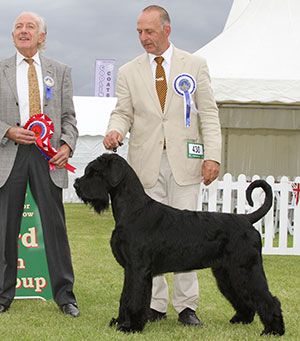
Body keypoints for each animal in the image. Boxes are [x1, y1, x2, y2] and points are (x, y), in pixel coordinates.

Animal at [74, 153, 284, 334]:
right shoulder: (130, 269)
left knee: (268, 299)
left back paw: (273, 330)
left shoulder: (138, 269)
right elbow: (125, 297)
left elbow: (133, 298)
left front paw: (130, 327)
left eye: (95, 172)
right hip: (227, 273)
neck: (133, 211)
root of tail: (246, 219)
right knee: (243, 297)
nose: (76, 184)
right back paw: (242, 319)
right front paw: (120, 321)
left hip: (246, 269)